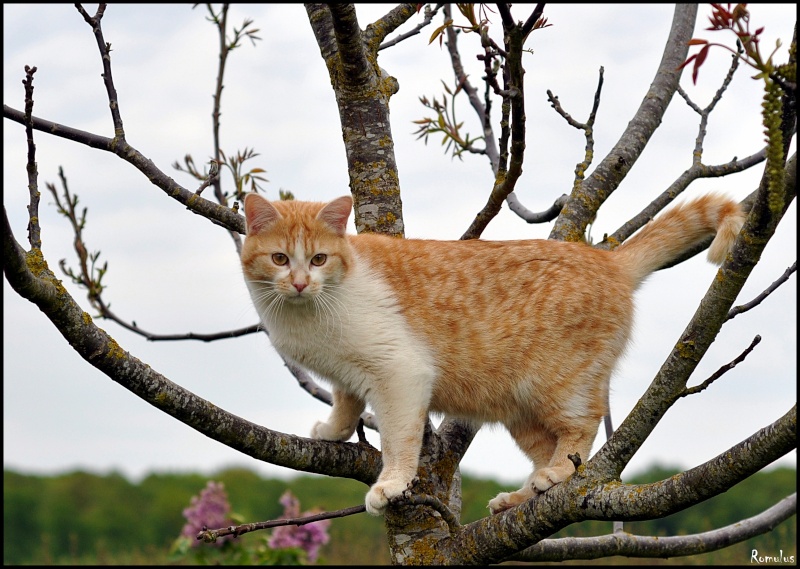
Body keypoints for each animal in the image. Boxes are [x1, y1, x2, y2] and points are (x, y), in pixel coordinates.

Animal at [241, 191, 748, 516]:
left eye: (319, 259)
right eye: (280, 259)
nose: (300, 283)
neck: (309, 314)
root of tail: (606, 258)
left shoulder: (400, 375)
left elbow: (399, 441)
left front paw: (392, 484)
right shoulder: (348, 375)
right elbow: (346, 405)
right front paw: (332, 431)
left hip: (558, 384)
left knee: (582, 430)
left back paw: (555, 476)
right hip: (523, 413)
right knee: (549, 449)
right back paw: (520, 497)